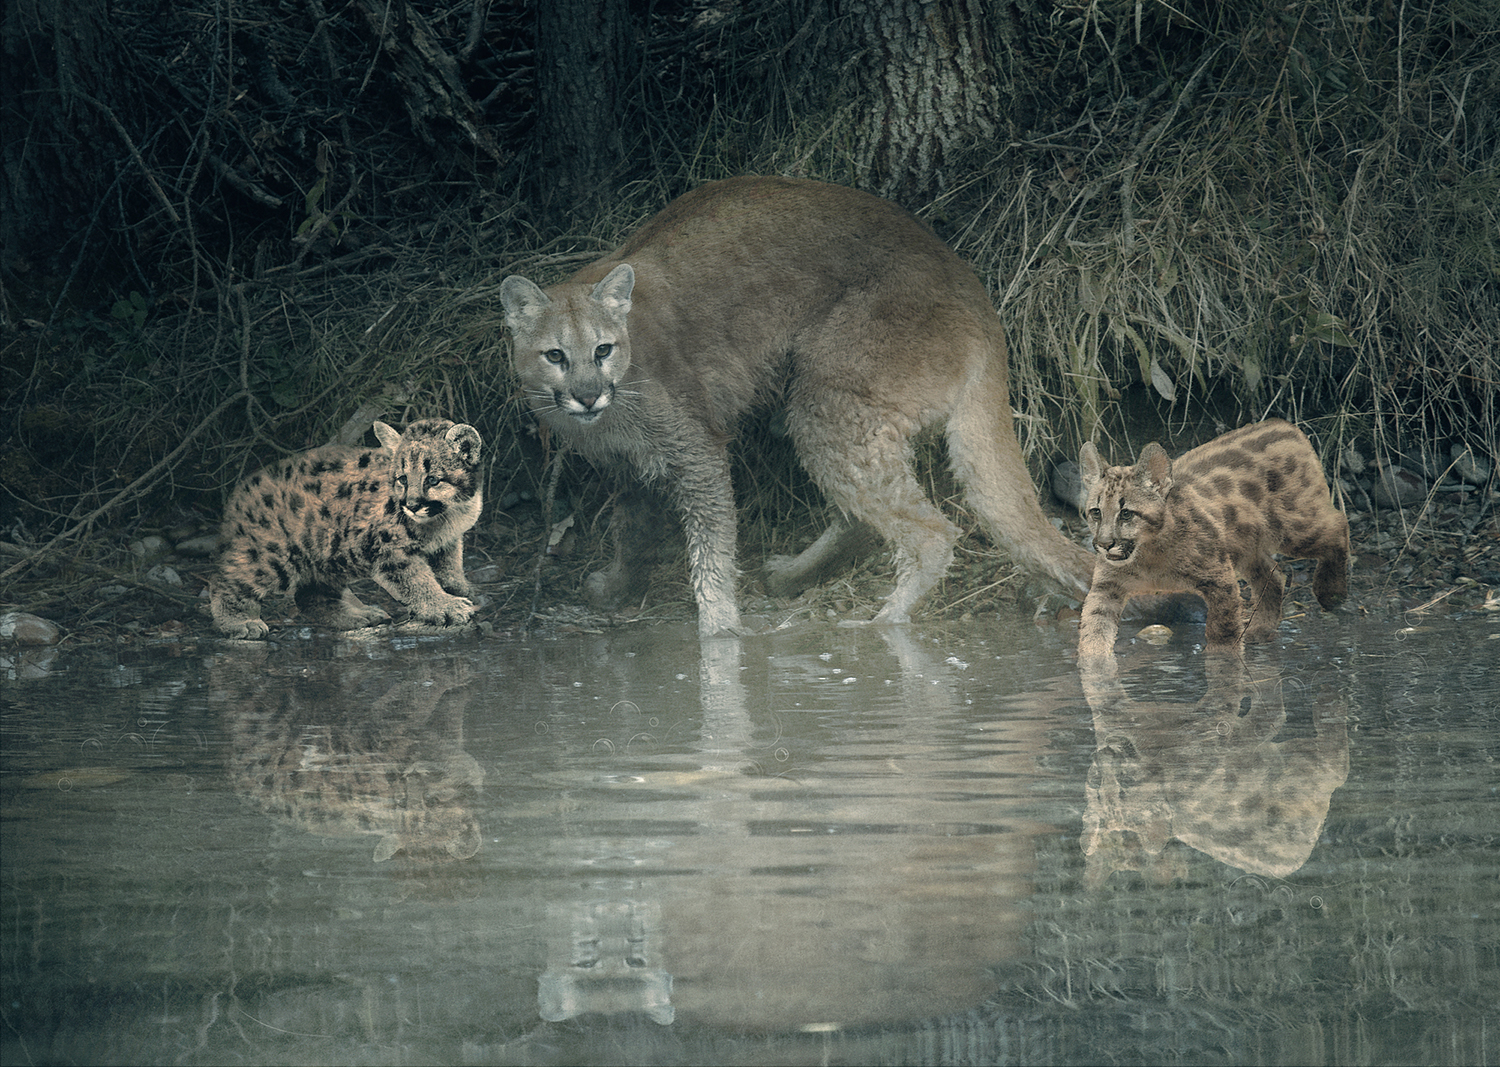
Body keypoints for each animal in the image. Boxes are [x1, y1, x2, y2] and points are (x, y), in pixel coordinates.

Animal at [501, 175, 1092, 633]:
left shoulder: (696, 450)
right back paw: (791, 576)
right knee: (865, 518)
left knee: (932, 532)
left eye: (602, 350)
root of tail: (976, 294)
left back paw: (883, 623)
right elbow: (631, 528)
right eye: (555, 355)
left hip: (827, 397)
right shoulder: (627, 465)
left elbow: (711, 551)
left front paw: (718, 635)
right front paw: (618, 586)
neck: (607, 415)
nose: (587, 395)